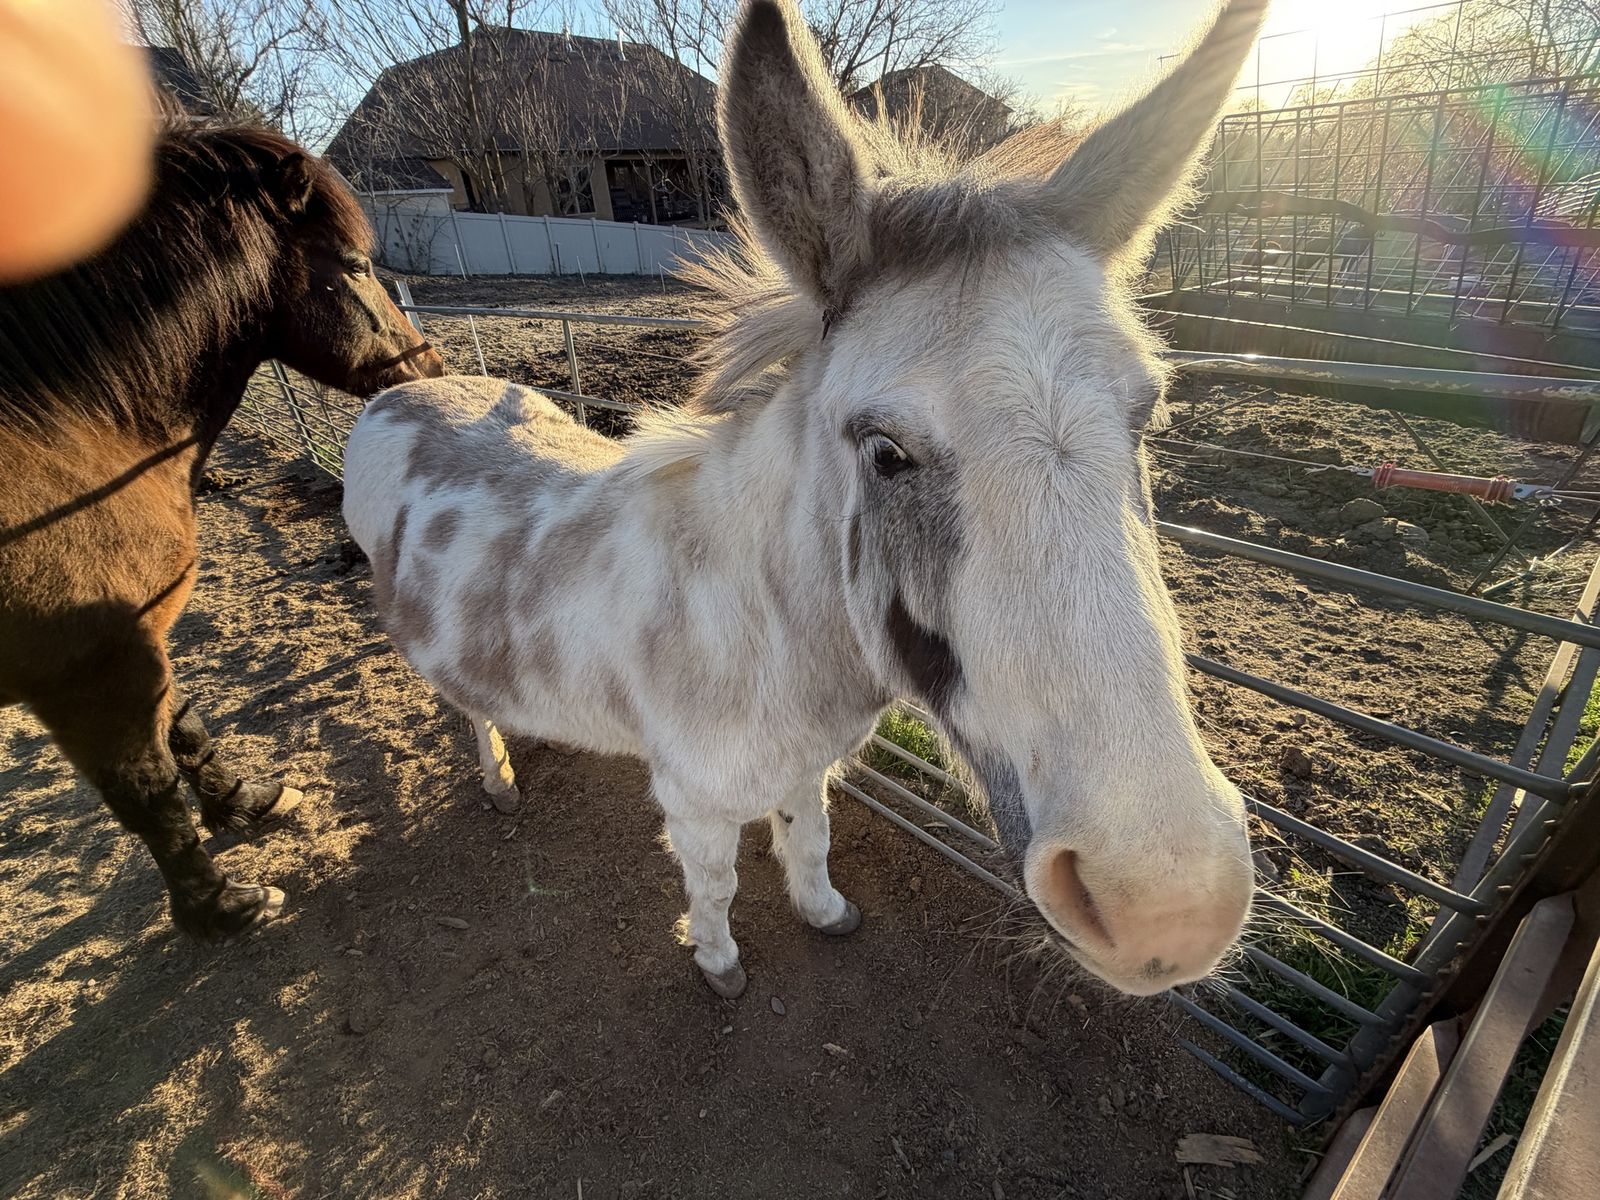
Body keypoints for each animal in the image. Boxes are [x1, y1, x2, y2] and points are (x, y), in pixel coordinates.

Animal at [0, 119, 443, 942]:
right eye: (357, 264)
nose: (426, 366)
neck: (72, 427)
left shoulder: (138, 636)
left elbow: (185, 726)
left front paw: (247, 801)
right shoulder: (92, 665)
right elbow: (144, 790)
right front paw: (221, 906)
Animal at [342, 0, 1266, 1000]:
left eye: (1148, 414)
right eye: (885, 452)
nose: (1170, 908)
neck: (764, 637)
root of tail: (410, 391)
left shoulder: (804, 763)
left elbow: (811, 840)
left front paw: (823, 914)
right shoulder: (694, 801)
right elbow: (714, 887)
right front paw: (718, 965)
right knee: (464, 709)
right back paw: (500, 775)